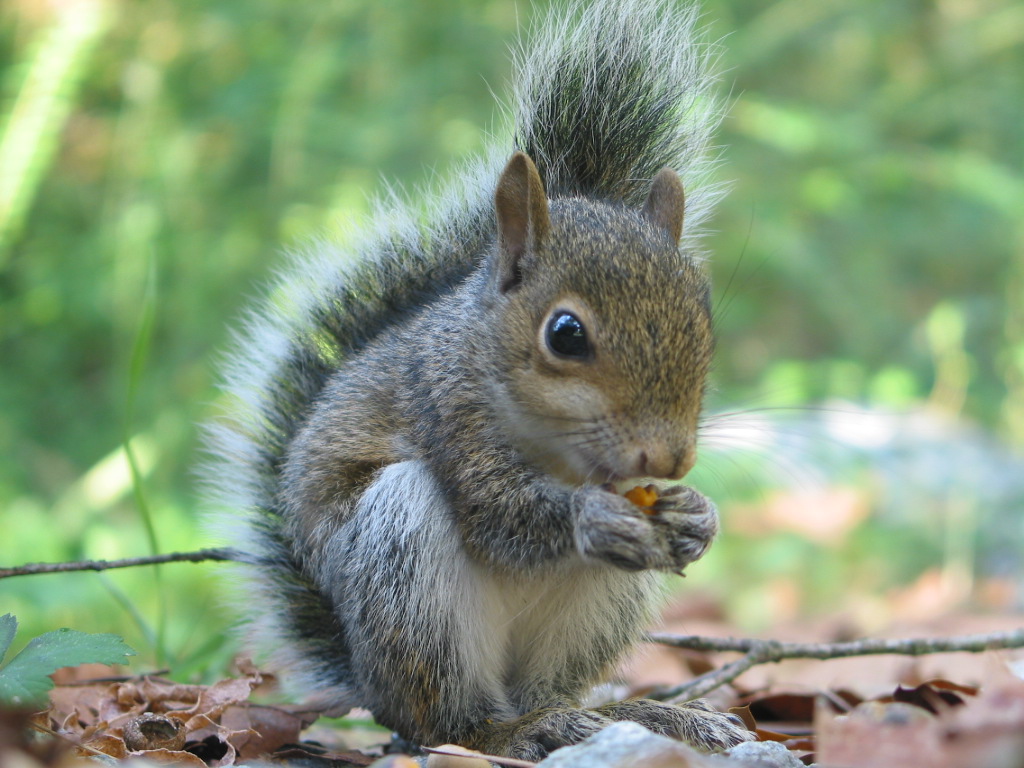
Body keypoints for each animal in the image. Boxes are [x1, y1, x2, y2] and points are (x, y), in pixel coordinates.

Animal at [204, 0, 754, 760]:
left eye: (702, 317)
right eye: (565, 333)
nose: (670, 459)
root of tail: (372, 687)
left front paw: (698, 514)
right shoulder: (448, 409)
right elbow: (499, 514)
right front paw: (589, 516)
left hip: (600, 608)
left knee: (551, 688)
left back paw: (639, 716)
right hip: (403, 567)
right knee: (452, 723)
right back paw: (520, 731)